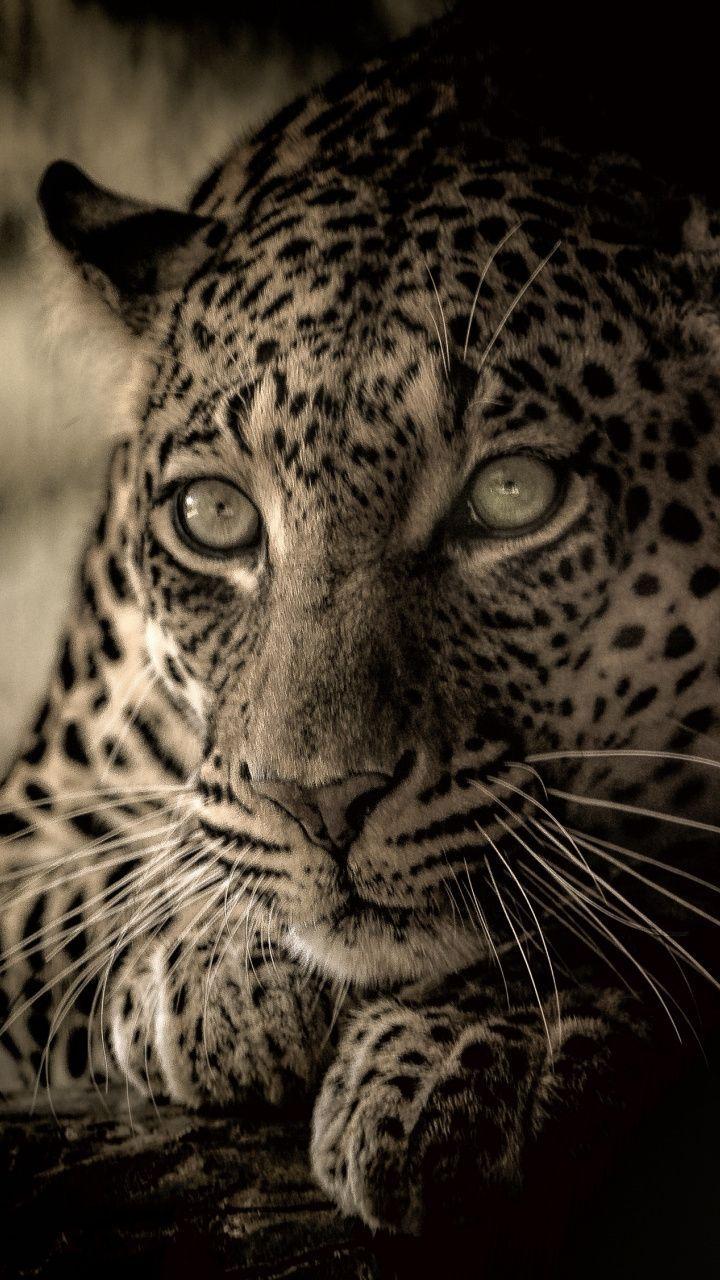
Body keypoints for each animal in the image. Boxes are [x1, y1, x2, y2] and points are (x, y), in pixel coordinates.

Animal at [1, 4, 720, 1245]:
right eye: (214, 515)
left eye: (512, 496)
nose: (323, 800)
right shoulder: (31, 819)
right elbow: (96, 892)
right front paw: (214, 967)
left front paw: (468, 1047)